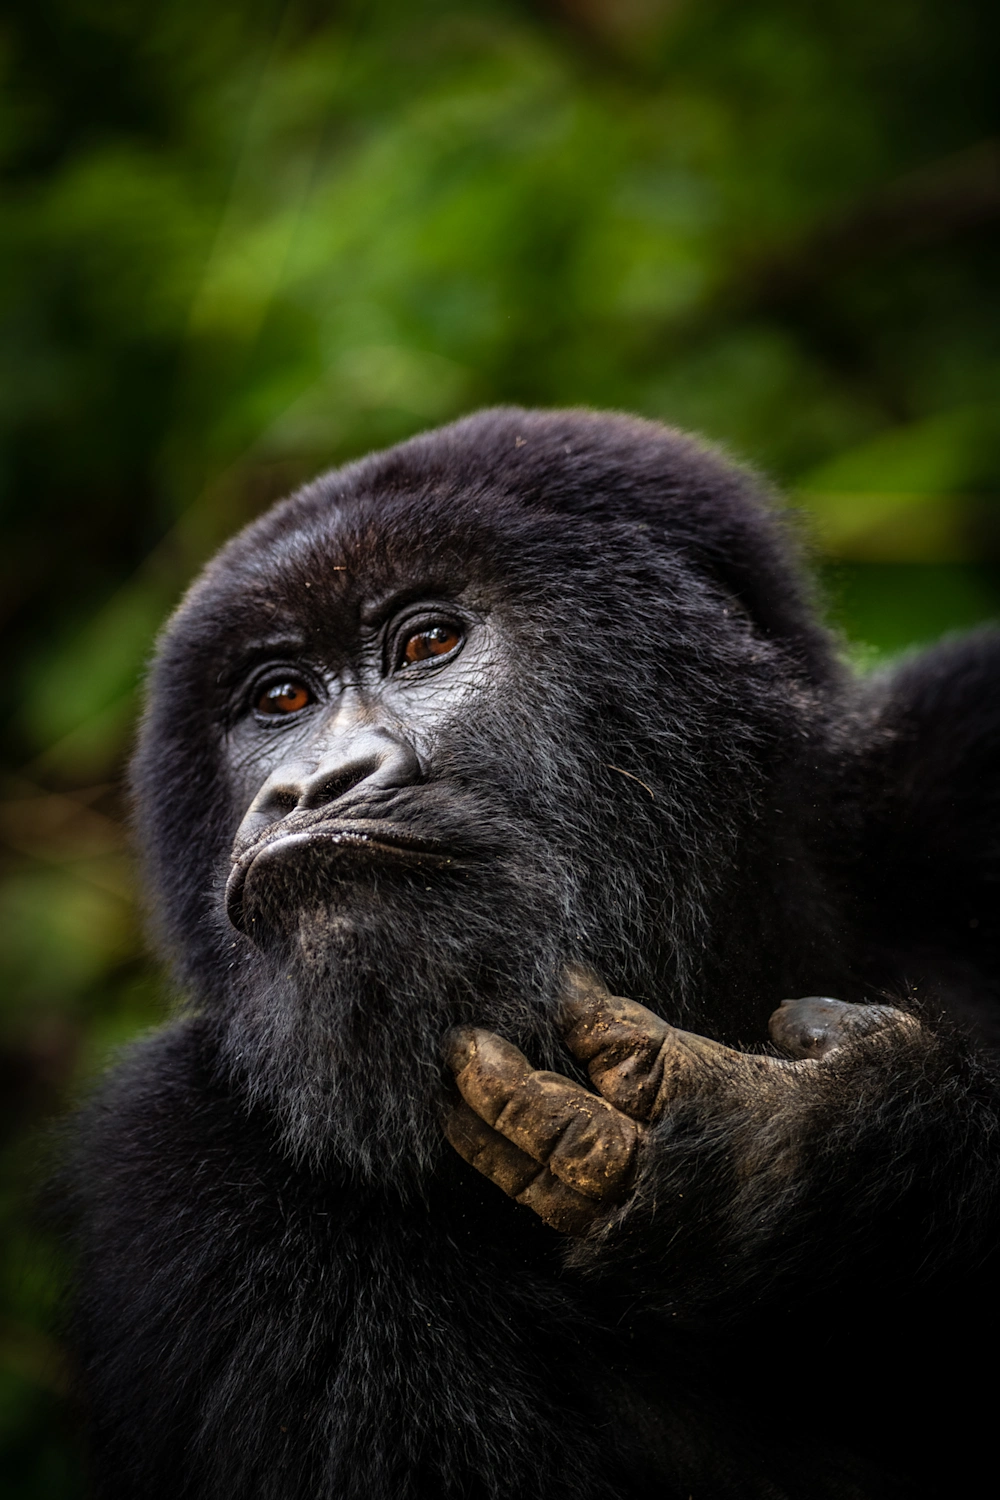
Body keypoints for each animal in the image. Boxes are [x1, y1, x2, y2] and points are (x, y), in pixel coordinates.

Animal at [65, 407, 1000, 1499]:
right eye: (282, 698)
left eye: (428, 642)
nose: (311, 788)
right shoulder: (172, 1171)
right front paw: (792, 1154)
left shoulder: (956, 747)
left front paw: (811, 1142)